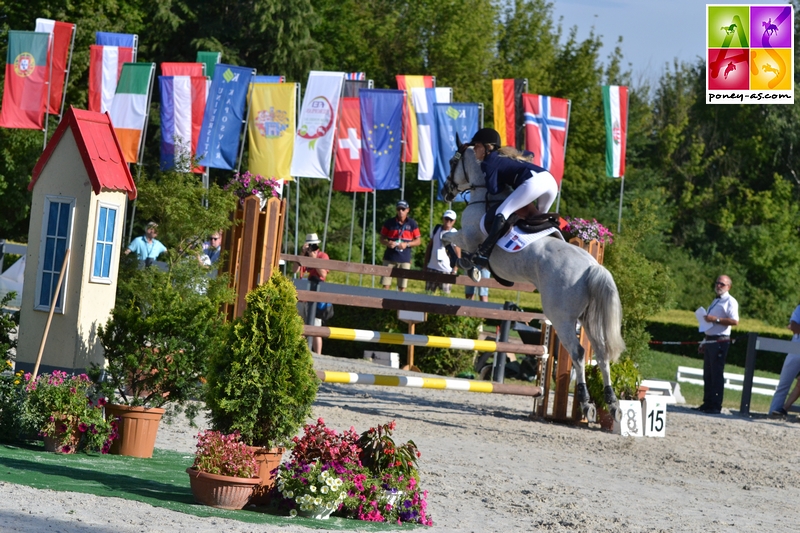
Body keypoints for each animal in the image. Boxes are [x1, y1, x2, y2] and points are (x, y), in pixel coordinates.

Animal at [444, 142, 624, 424]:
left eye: (453, 162)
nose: (445, 191)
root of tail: (592, 266)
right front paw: (468, 266)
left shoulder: (467, 237)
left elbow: (446, 236)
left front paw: (464, 263)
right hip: (586, 317)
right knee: (602, 353)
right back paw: (612, 404)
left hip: (561, 317)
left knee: (578, 354)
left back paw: (586, 404)